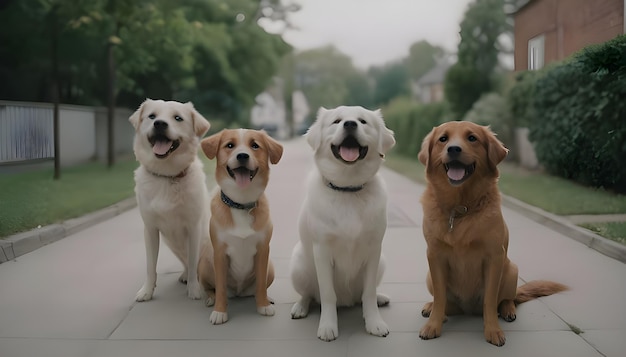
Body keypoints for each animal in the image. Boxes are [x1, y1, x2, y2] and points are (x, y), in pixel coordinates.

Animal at [129, 98, 210, 300]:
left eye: (178, 118)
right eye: (152, 116)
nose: (159, 124)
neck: (166, 176)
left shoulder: (194, 227)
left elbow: (193, 262)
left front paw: (194, 289)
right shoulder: (150, 229)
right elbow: (151, 266)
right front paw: (147, 291)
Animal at [197, 128, 282, 322]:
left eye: (255, 145)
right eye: (230, 145)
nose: (242, 155)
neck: (241, 203)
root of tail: (238, 292)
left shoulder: (263, 251)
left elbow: (260, 285)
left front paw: (263, 305)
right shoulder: (220, 253)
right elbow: (220, 288)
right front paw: (220, 311)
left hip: (271, 268)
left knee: (258, 288)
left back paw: (267, 298)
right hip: (205, 266)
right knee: (210, 288)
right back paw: (210, 299)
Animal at [288, 105, 394, 340]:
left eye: (362, 121)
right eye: (337, 121)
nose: (350, 124)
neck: (348, 188)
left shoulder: (374, 250)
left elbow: (369, 293)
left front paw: (374, 322)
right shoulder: (322, 250)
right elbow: (328, 294)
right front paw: (328, 326)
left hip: (382, 262)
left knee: (363, 295)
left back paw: (380, 297)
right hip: (298, 264)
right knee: (308, 295)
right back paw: (300, 307)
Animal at [414, 120, 564, 344]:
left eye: (472, 138)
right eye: (443, 139)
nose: (453, 149)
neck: (461, 208)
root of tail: (468, 309)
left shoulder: (494, 257)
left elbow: (490, 300)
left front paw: (493, 330)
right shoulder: (434, 255)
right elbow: (440, 298)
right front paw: (433, 325)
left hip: (511, 270)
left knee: (509, 299)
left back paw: (508, 310)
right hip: (429, 277)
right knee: (448, 304)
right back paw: (433, 308)